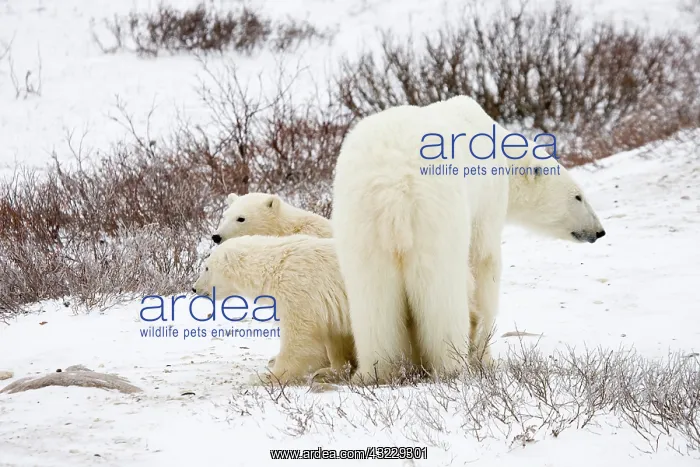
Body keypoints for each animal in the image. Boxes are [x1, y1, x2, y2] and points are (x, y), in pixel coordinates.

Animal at [191, 234, 356, 385]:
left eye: (207, 268)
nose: (194, 288)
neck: (272, 268)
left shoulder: (298, 290)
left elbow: (299, 336)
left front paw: (269, 376)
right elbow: (337, 337)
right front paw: (330, 372)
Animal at [330, 95, 605, 384]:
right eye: (578, 196)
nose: (599, 231)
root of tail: (391, 189)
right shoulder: (486, 199)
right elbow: (485, 262)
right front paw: (485, 357)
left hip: (361, 225)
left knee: (373, 296)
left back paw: (377, 371)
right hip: (435, 215)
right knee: (442, 290)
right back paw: (452, 364)